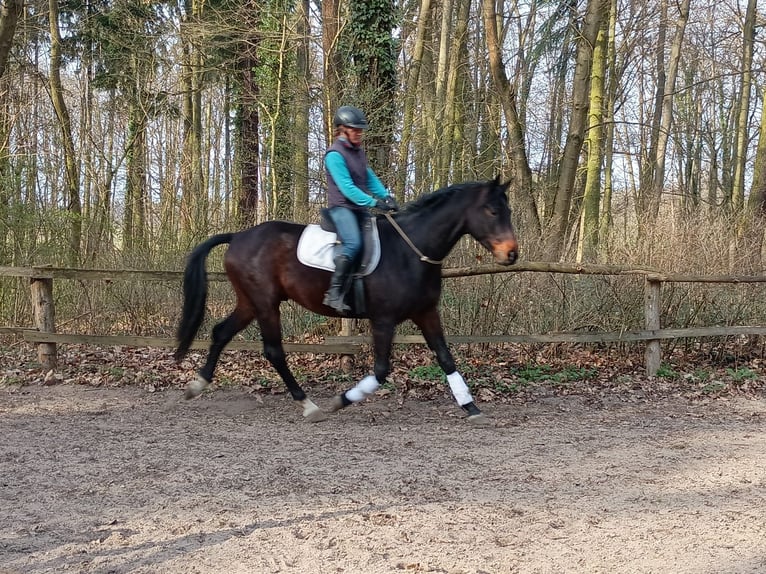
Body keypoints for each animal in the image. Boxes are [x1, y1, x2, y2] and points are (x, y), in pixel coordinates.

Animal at [174, 176, 519, 424]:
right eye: (492, 211)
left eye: (508, 211)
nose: (511, 254)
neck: (410, 250)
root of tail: (239, 236)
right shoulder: (384, 320)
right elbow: (380, 370)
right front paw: (341, 400)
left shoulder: (426, 312)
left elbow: (446, 358)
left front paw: (471, 407)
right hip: (266, 304)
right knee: (273, 351)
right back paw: (308, 405)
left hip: (249, 303)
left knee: (221, 332)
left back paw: (197, 385)